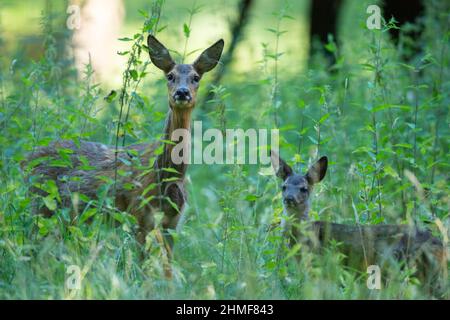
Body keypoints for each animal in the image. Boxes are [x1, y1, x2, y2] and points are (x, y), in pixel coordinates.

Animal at [22, 35, 224, 274]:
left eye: (196, 77)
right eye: (170, 76)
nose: (182, 92)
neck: (167, 176)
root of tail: (25, 160)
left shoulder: (173, 222)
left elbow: (168, 270)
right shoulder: (139, 215)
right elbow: (141, 267)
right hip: (41, 204)